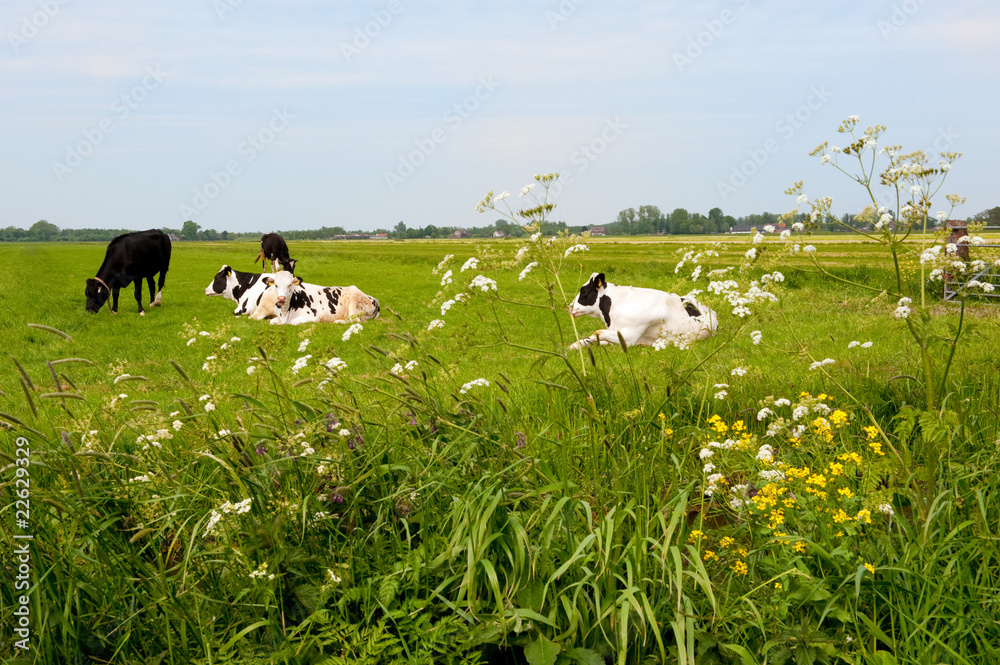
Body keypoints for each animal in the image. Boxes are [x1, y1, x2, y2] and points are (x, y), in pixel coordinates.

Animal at [251, 271, 380, 325]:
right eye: (276, 285)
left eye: (290, 285)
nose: (281, 298)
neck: (285, 312)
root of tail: (374, 299)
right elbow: (272, 322)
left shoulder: (312, 317)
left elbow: (292, 322)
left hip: (354, 302)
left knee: (355, 320)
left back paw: (337, 321)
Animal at [568, 272, 717, 349]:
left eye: (583, 291)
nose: (569, 306)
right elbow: (590, 338)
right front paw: (573, 346)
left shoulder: (629, 336)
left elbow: (597, 333)